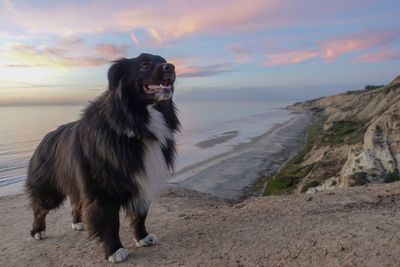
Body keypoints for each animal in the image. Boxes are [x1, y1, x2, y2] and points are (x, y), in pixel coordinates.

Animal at [25, 52, 180, 264]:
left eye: (163, 60)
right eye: (144, 65)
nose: (171, 67)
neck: (135, 122)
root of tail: (45, 139)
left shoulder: (141, 180)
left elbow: (140, 215)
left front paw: (142, 237)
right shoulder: (102, 189)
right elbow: (110, 222)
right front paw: (114, 250)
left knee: (76, 202)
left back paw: (78, 223)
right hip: (49, 188)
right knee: (39, 208)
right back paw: (38, 231)